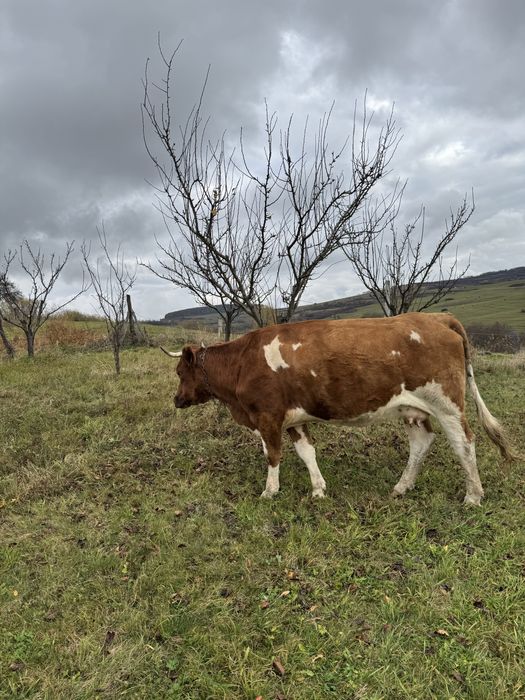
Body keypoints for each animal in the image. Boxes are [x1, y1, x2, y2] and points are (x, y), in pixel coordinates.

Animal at [162, 313, 515, 505]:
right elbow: (307, 452)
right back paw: (402, 487)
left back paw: (473, 495)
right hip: (412, 409)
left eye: (179, 372)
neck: (242, 362)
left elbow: (272, 455)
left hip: (447, 404)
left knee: (464, 442)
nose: (177, 400)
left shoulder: (267, 416)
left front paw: (270, 491)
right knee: (421, 442)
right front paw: (318, 489)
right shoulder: (293, 418)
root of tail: (435, 317)